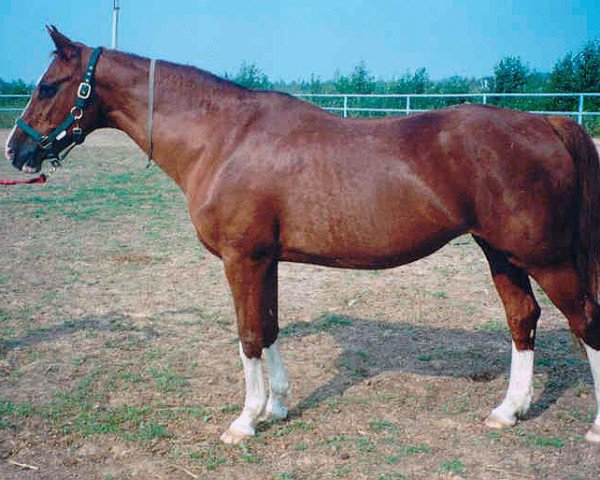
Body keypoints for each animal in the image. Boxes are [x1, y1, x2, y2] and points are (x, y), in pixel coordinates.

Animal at [7, 28, 600, 444]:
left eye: (48, 85)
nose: (16, 149)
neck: (223, 138)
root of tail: (544, 123)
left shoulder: (242, 259)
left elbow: (249, 334)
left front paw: (245, 421)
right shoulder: (265, 260)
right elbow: (269, 327)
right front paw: (277, 406)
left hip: (547, 259)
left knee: (584, 322)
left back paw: (591, 427)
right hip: (503, 254)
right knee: (523, 320)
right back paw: (508, 411)